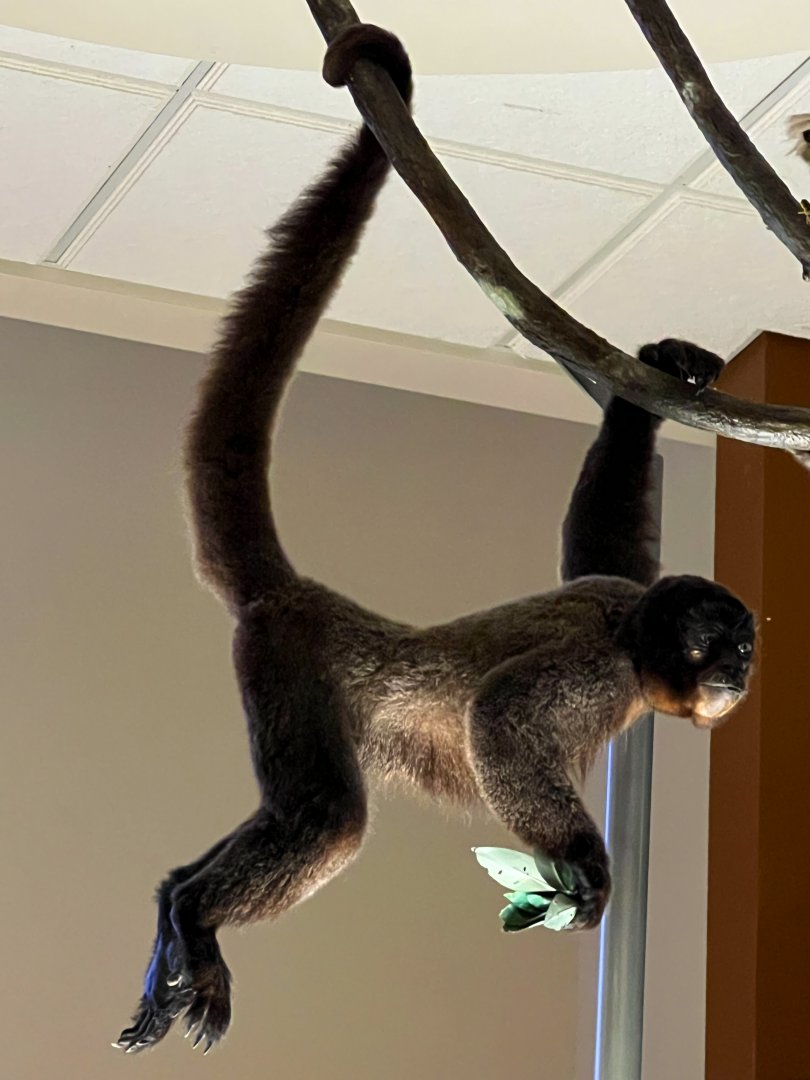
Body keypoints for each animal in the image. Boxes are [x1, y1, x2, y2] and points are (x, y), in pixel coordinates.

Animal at [116, 24, 755, 1056]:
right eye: (715, 643)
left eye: (746, 645)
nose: (739, 668)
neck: (632, 644)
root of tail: (310, 597)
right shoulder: (598, 666)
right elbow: (500, 714)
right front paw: (585, 865)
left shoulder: (619, 594)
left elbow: (599, 551)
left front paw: (658, 376)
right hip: (287, 661)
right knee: (328, 817)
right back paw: (196, 918)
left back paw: (177, 903)